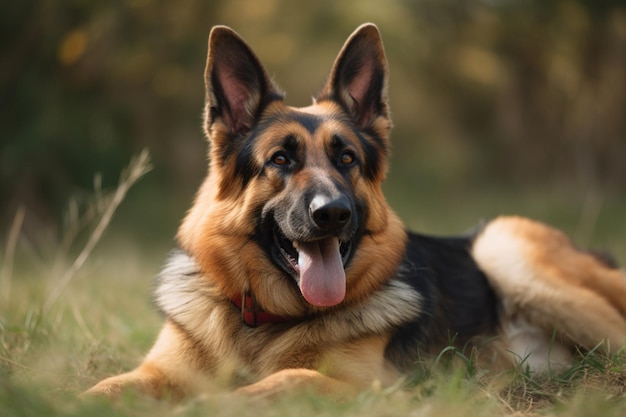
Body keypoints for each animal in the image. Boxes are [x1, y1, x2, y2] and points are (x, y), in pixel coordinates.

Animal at [86, 23, 624, 400]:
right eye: (280, 160)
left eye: (347, 159)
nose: (334, 214)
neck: (267, 320)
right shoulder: (156, 371)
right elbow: (106, 387)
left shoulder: (369, 388)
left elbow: (283, 380)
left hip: (504, 246)